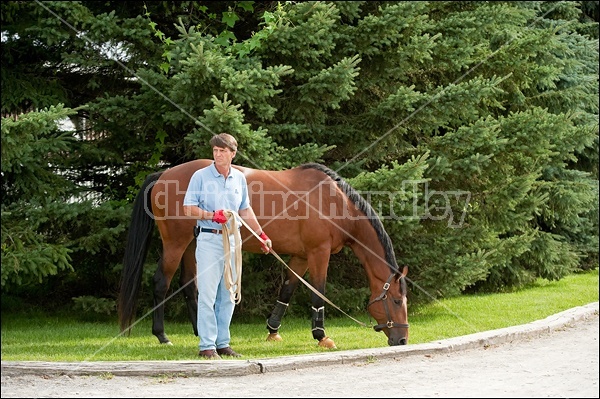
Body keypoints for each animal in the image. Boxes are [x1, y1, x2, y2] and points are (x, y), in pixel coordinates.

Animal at [117, 161, 408, 348]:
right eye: (395, 300)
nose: (402, 339)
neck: (333, 201)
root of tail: (164, 173)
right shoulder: (318, 253)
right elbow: (318, 293)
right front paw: (321, 335)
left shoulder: (301, 256)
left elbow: (287, 291)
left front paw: (273, 331)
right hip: (175, 244)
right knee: (161, 283)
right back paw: (162, 336)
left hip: (192, 243)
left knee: (189, 285)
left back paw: (200, 331)